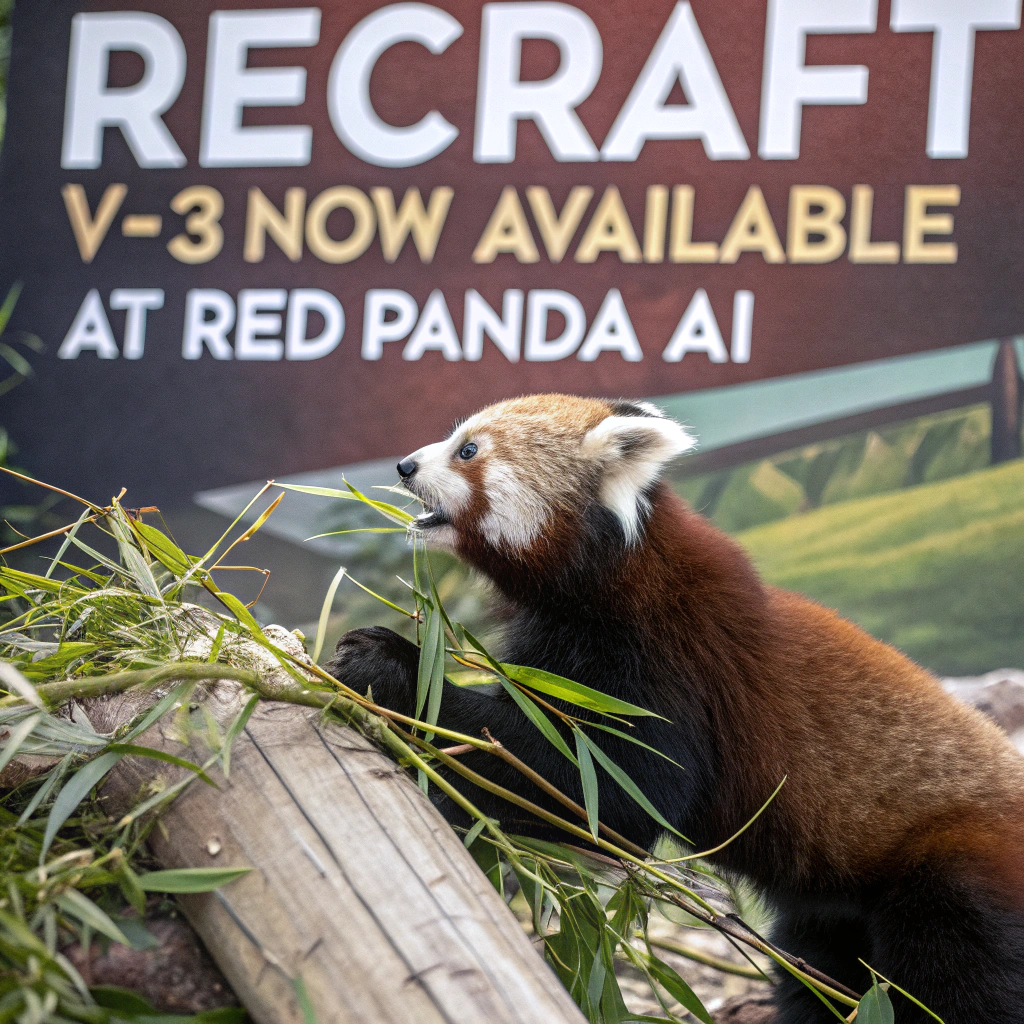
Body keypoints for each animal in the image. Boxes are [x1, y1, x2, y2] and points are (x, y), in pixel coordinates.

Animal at [329, 393, 1024, 1024]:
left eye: (468, 451)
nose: (404, 466)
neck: (611, 576)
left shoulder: (664, 657)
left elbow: (608, 792)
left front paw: (388, 666)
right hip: (832, 912)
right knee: (826, 971)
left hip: (955, 872)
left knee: (955, 979)